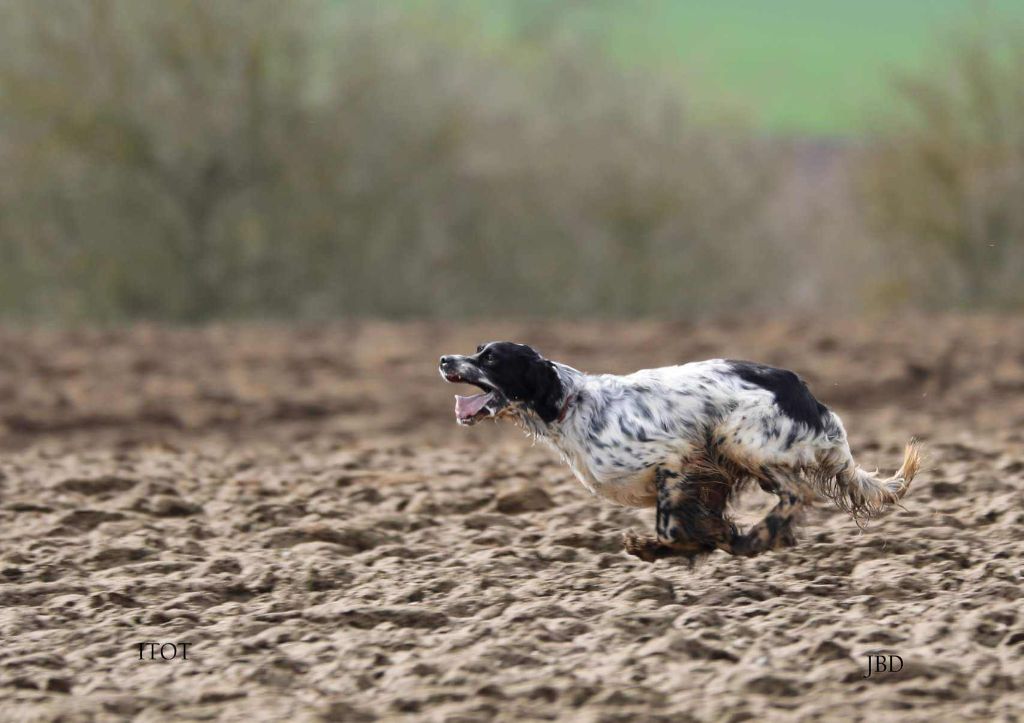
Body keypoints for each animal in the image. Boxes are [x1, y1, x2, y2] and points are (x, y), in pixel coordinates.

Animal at [440, 339, 921, 561]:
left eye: (490, 358)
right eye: (477, 350)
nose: (445, 359)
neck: (569, 403)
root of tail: (804, 392)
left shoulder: (674, 460)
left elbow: (671, 526)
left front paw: (669, 545)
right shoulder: (708, 472)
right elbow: (702, 521)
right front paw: (708, 540)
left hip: (738, 438)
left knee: (798, 493)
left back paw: (757, 537)